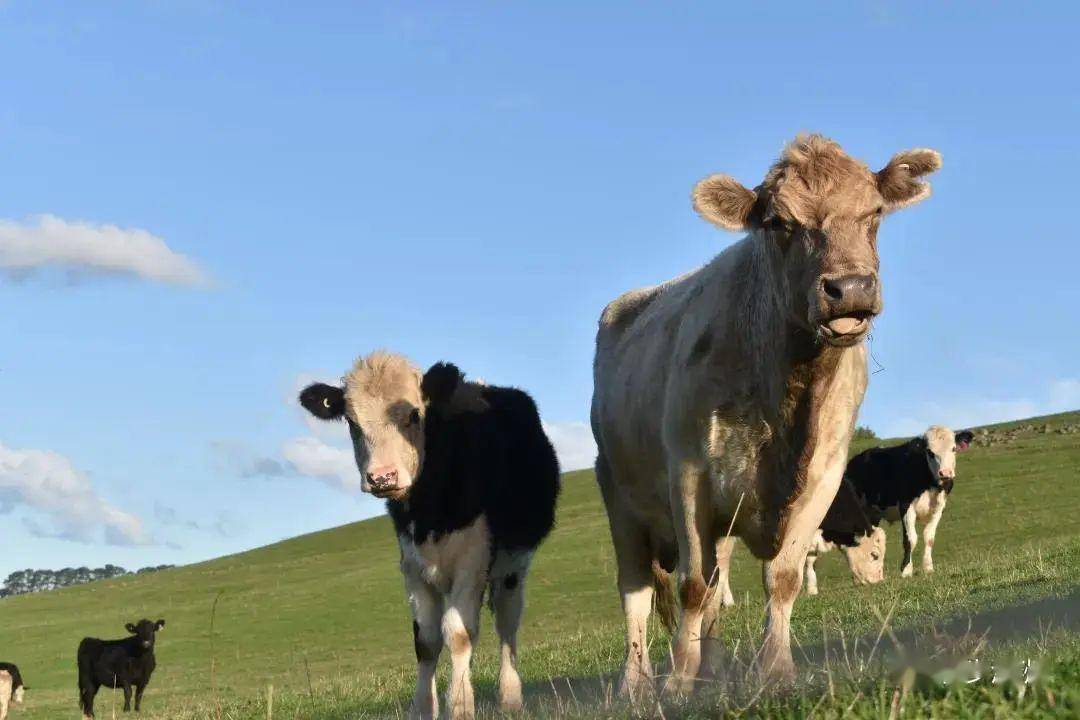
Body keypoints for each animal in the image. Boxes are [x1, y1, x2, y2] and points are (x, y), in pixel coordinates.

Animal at [300, 354, 561, 720]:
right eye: (351, 422)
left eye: (413, 415)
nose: (382, 477)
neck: (429, 513)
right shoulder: (411, 565)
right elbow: (425, 640)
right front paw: (424, 707)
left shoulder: (471, 561)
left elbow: (459, 633)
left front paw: (461, 704)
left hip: (513, 565)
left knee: (507, 623)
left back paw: (510, 696)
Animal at [587, 132, 941, 695]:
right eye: (779, 223)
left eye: (875, 212)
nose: (851, 288)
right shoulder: (688, 476)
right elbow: (691, 587)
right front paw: (678, 678)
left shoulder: (822, 475)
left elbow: (782, 578)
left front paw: (773, 668)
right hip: (619, 495)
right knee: (638, 594)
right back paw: (637, 683)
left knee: (714, 585)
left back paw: (711, 669)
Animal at [846, 427, 976, 578]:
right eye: (930, 452)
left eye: (953, 448)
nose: (945, 473)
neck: (931, 484)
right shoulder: (906, 507)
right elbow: (911, 539)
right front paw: (906, 570)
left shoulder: (939, 508)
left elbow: (929, 538)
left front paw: (928, 567)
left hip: (873, 514)